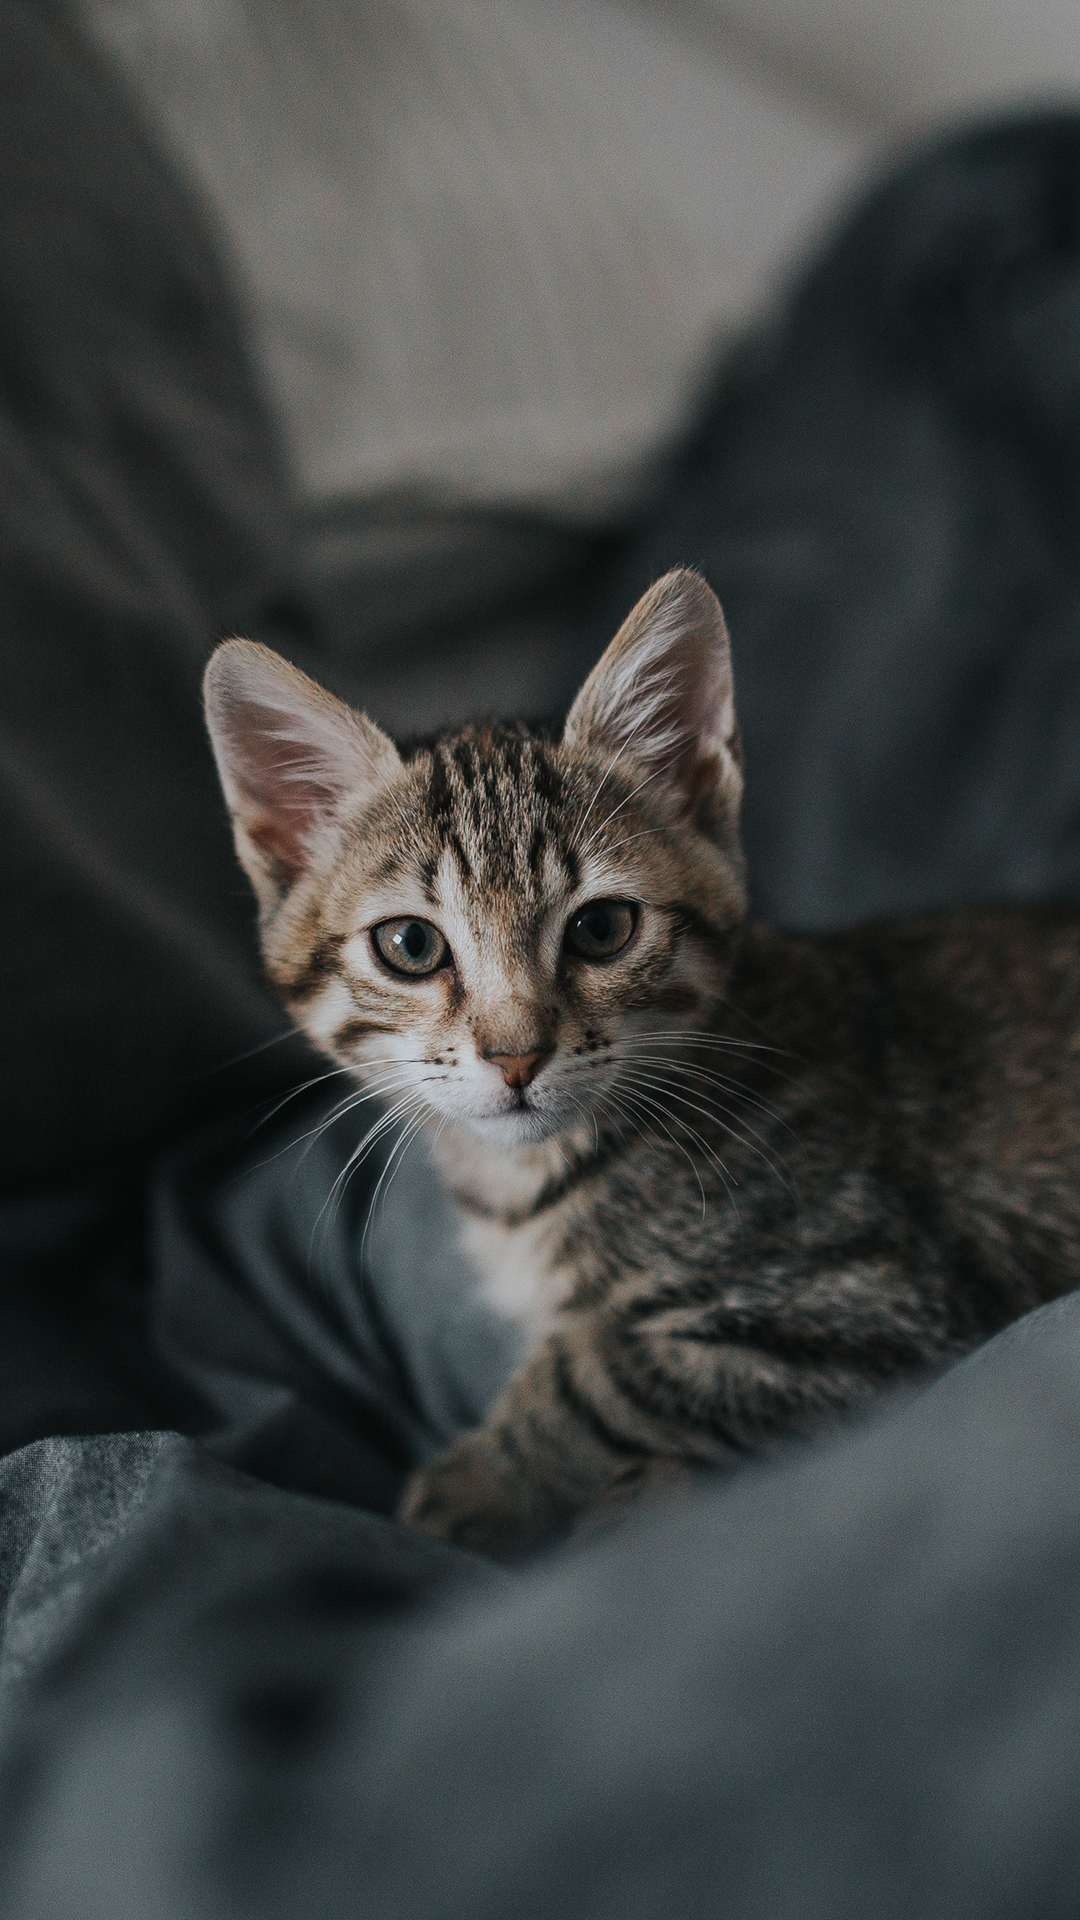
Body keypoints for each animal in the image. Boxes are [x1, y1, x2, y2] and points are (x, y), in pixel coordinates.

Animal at [203, 572, 1080, 1559]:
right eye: (410, 946)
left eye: (601, 928)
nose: (516, 1054)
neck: (532, 1182)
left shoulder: (872, 1299)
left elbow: (603, 1368)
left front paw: (484, 1481)